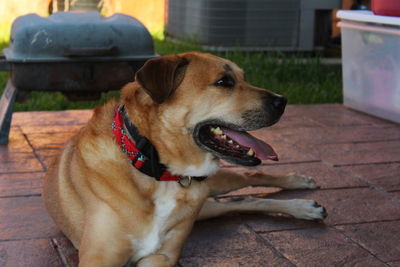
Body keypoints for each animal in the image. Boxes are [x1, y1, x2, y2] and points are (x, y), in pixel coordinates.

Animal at [43, 51, 324, 266]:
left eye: (243, 78)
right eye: (224, 82)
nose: (282, 101)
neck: (156, 169)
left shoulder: (163, 256)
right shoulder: (98, 258)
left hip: (213, 188)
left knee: (249, 176)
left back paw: (301, 189)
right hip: (208, 206)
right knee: (241, 201)